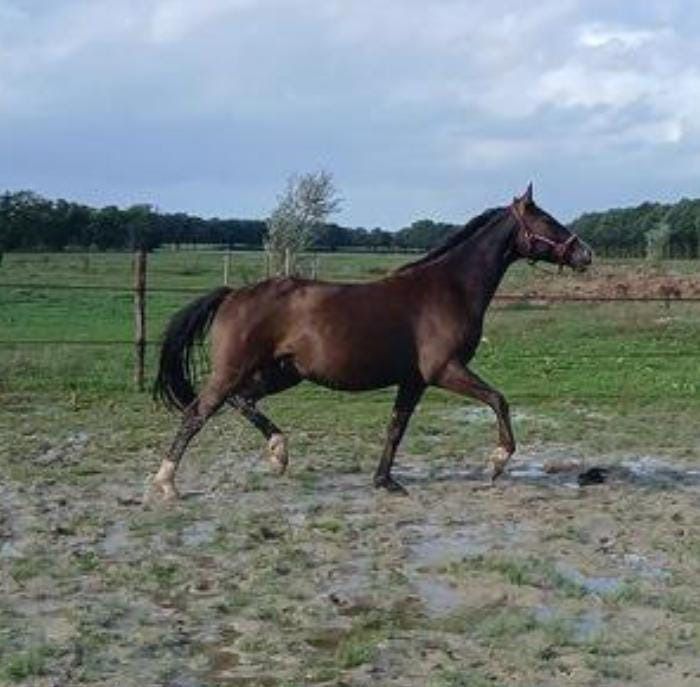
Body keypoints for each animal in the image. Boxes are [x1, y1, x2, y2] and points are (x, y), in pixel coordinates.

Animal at [152, 184, 592, 499]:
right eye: (547, 219)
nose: (585, 253)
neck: (448, 289)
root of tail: (233, 294)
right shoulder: (444, 370)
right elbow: (498, 400)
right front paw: (498, 461)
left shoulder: (414, 380)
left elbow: (396, 427)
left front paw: (385, 480)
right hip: (233, 370)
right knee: (197, 413)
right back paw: (167, 483)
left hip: (284, 372)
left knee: (242, 400)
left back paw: (279, 454)